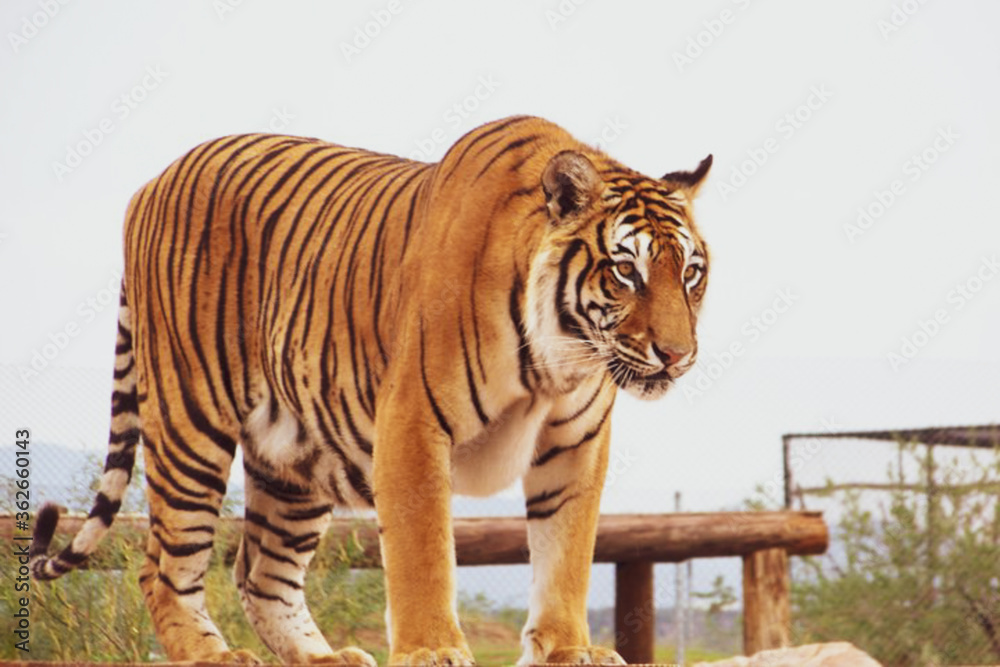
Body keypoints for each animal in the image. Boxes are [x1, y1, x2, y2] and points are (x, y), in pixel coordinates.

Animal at [30, 115, 711, 666]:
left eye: (691, 273)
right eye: (626, 271)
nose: (677, 356)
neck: (554, 364)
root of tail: (149, 184)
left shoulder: (576, 443)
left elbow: (565, 551)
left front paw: (570, 650)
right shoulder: (413, 421)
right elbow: (423, 549)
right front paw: (432, 649)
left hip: (294, 457)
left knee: (260, 572)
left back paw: (326, 658)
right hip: (190, 422)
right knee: (161, 565)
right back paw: (213, 656)